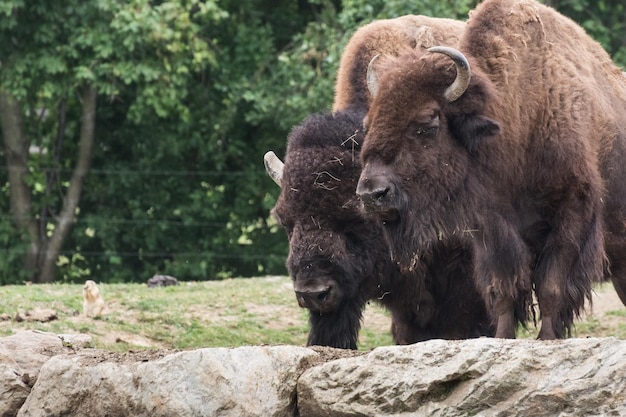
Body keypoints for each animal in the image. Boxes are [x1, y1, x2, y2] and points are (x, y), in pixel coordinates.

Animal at [354, 0, 624, 340]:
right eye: (368, 124)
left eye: (427, 124)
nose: (371, 194)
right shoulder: (491, 229)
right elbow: (502, 289)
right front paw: (503, 337)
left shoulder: (571, 213)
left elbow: (551, 285)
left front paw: (547, 338)